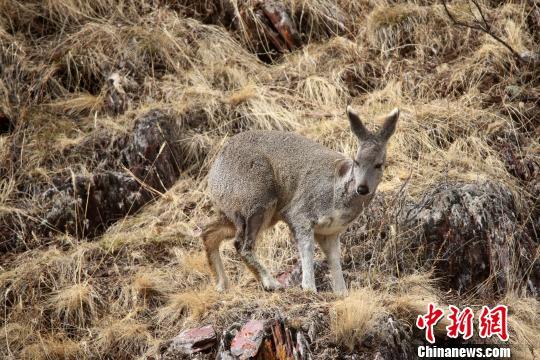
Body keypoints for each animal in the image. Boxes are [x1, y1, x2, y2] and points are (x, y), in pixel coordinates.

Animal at [200, 105, 398, 294]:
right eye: (356, 161)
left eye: (379, 164)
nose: (362, 188)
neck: (337, 194)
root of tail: (214, 172)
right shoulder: (299, 213)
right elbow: (307, 248)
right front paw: (309, 287)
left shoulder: (330, 232)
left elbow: (334, 258)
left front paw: (342, 292)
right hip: (256, 199)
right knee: (241, 243)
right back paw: (271, 283)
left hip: (243, 212)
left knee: (208, 232)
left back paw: (222, 284)